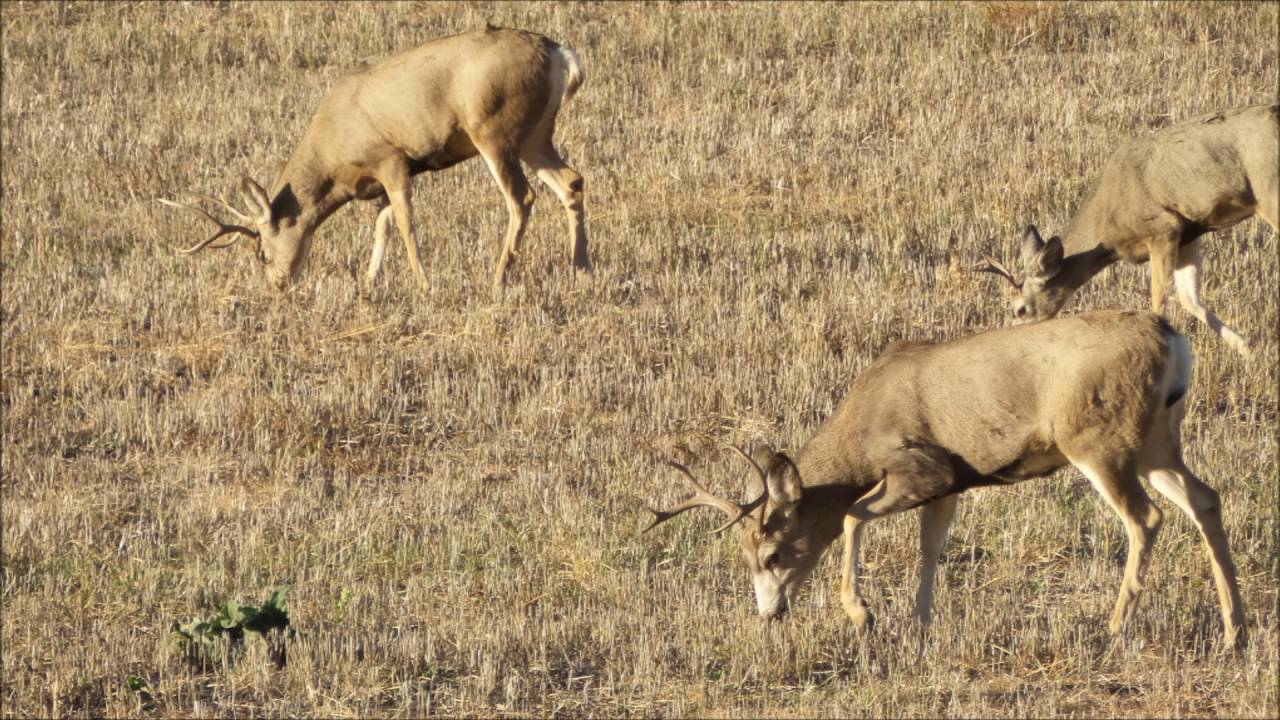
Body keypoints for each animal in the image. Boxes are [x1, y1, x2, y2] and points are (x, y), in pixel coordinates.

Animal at [161, 25, 589, 294]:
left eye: (262, 252)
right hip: (535, 133)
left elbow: (405, 223)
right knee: (572, 181)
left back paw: (499, 279)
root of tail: (560, 56)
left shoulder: (392, 159)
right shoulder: (379, 179)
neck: (334, 155)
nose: (276, 287)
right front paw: (370, 282)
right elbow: (382, 226)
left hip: (494, 131)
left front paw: (423, 284)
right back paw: (580, 267)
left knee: (522, 197)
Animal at [645, 310, 1245, 648]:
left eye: (772, 555)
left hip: (1099, 439)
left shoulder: (920, 466)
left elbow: (851, 514)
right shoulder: (951, 486)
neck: (861, 430)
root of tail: (1172, 340)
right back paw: (1235, 630)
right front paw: (920, 625)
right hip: (1157, 441)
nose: (769, 613)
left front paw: (863, 615)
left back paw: (1115, 630)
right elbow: (930, 547)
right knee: (1206, 499)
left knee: (1147, 517)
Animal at [974, 103, 1278, 359]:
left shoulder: (1162, 229)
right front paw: (1248, 351)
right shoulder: (1188, 234)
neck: (1108, 232)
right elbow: (1190, 299)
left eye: (1020, 309)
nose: (1012, 339)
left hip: (1267, 191)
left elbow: (1159, 302)